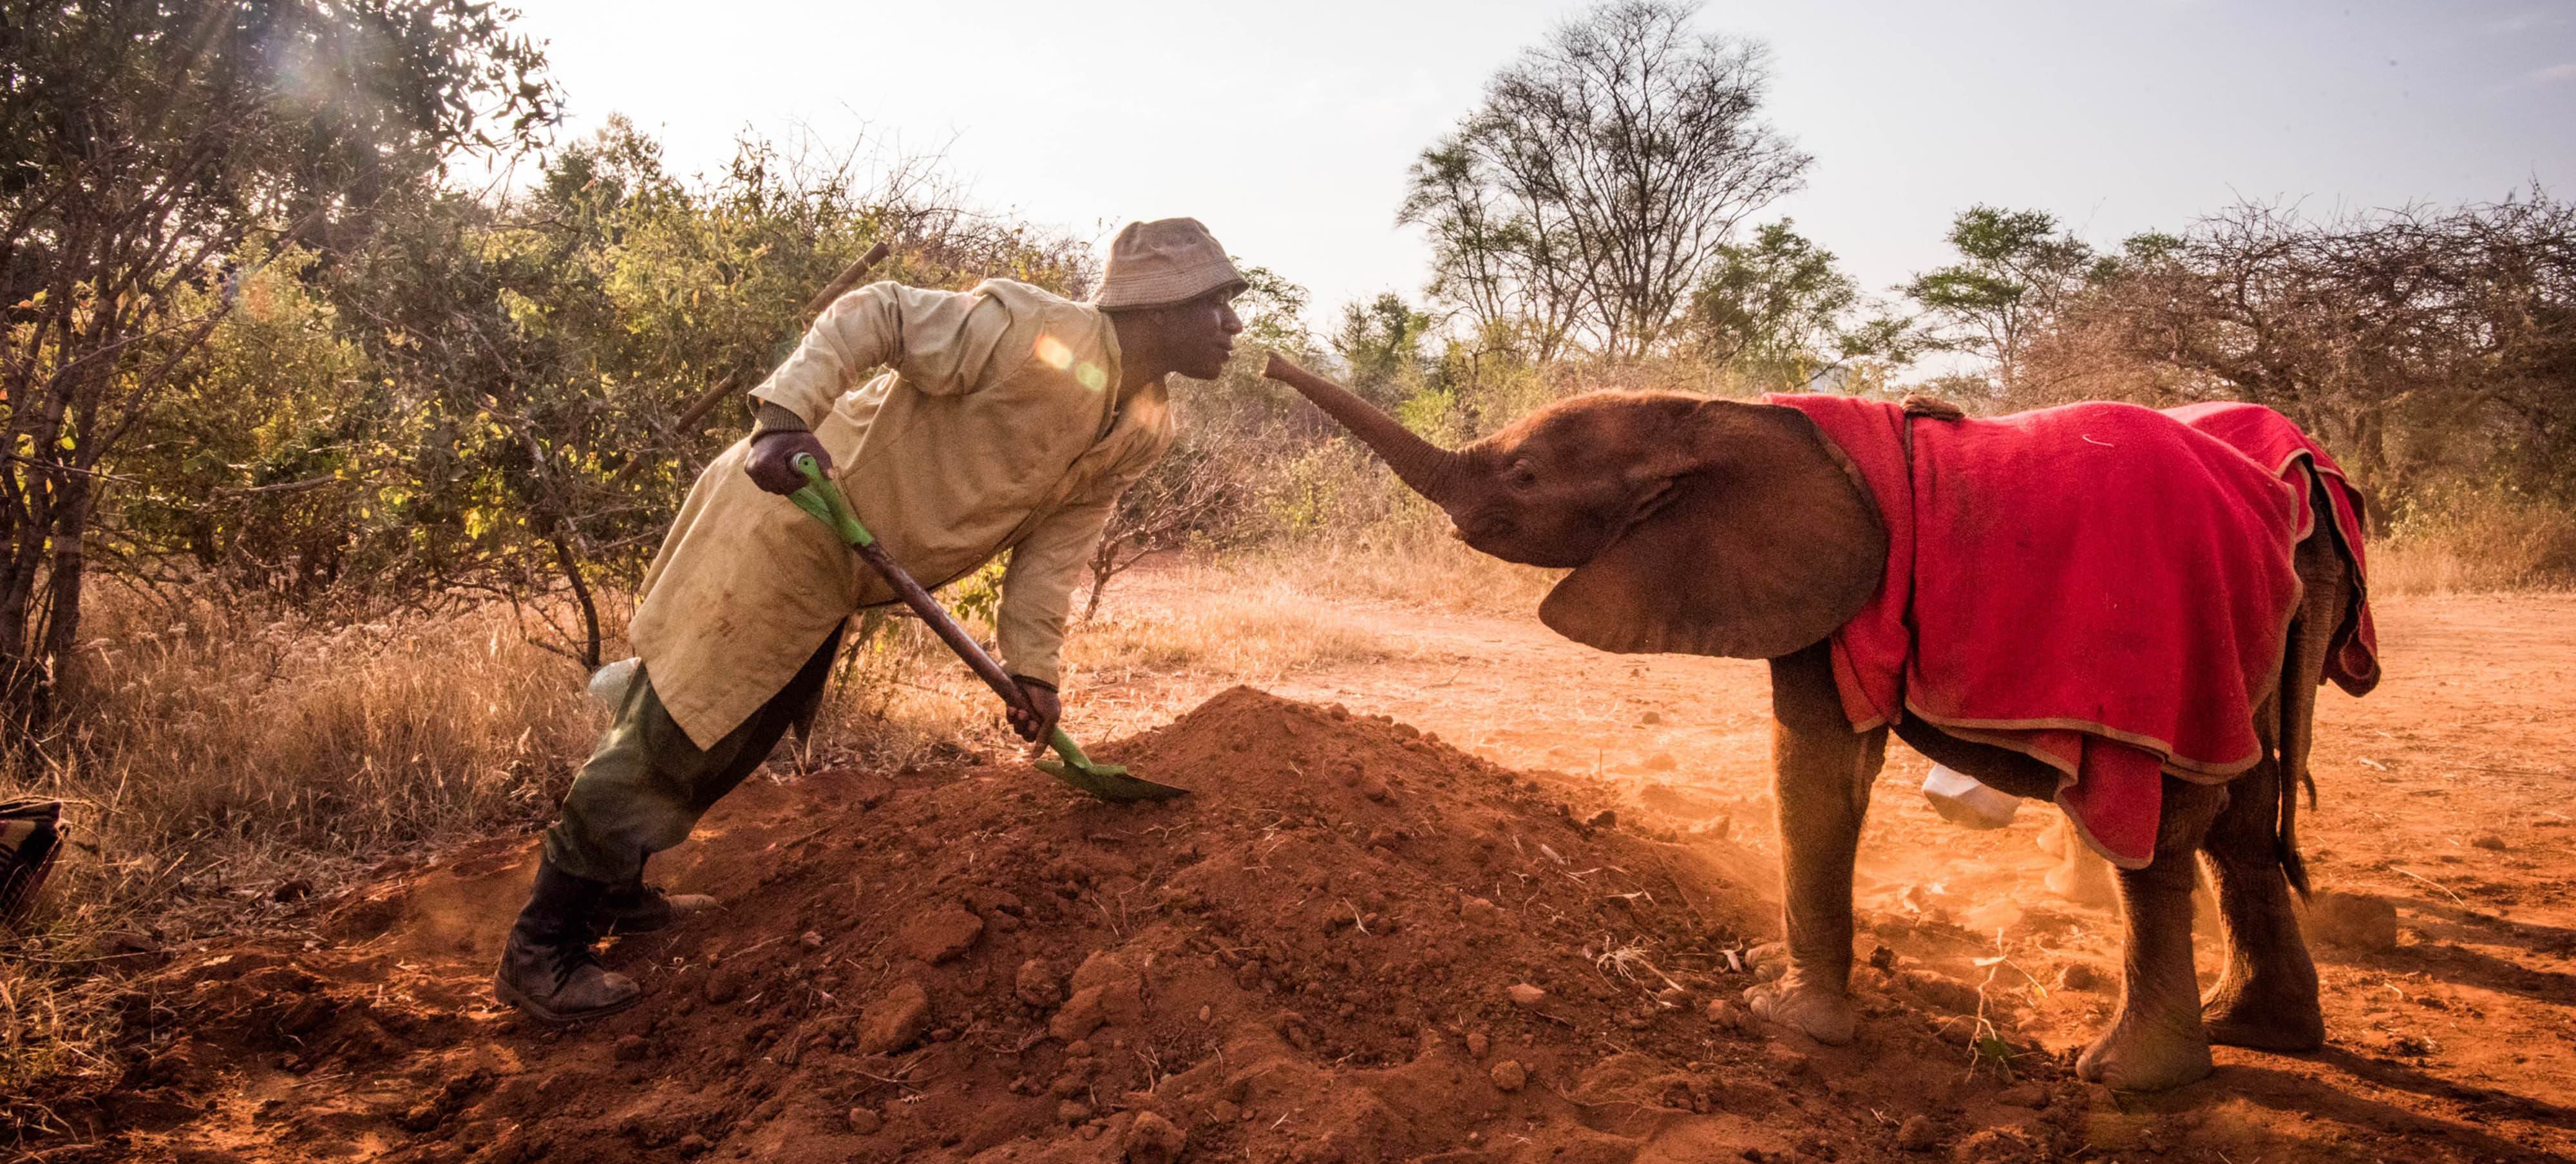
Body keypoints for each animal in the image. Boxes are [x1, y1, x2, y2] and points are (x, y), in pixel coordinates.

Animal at [1262, 358, 2370, 1092]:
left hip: (2166, 651)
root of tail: (2293, 495)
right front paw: (1767, 982)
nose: (1264, 352)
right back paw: (2262, 1028)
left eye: (1527, 478)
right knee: (2244, 818)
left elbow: (1817, 766)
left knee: (2166, 827)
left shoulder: (1828, 586)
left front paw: (1783, 1017)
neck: (1712, 413)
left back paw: (2134, 1073)